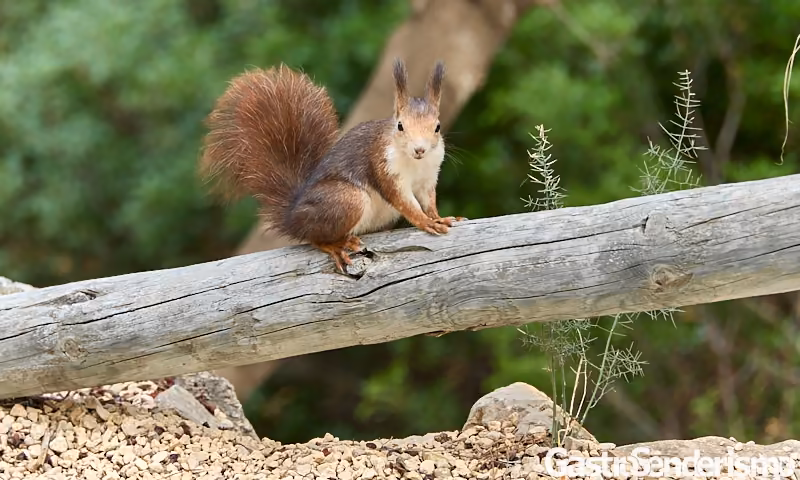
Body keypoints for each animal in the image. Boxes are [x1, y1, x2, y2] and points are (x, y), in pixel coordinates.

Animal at [199, 59, 464, 272]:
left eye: (437, 127)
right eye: (400, 126)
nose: (419, 149)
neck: (414, 163)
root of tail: (292, 216)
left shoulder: (429, 177)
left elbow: (428, 201)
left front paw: (439, 217)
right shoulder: (385, 169)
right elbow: (405, 203)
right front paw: (426, 222)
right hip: (346, 200)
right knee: (313, 238)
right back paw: (336, 245)